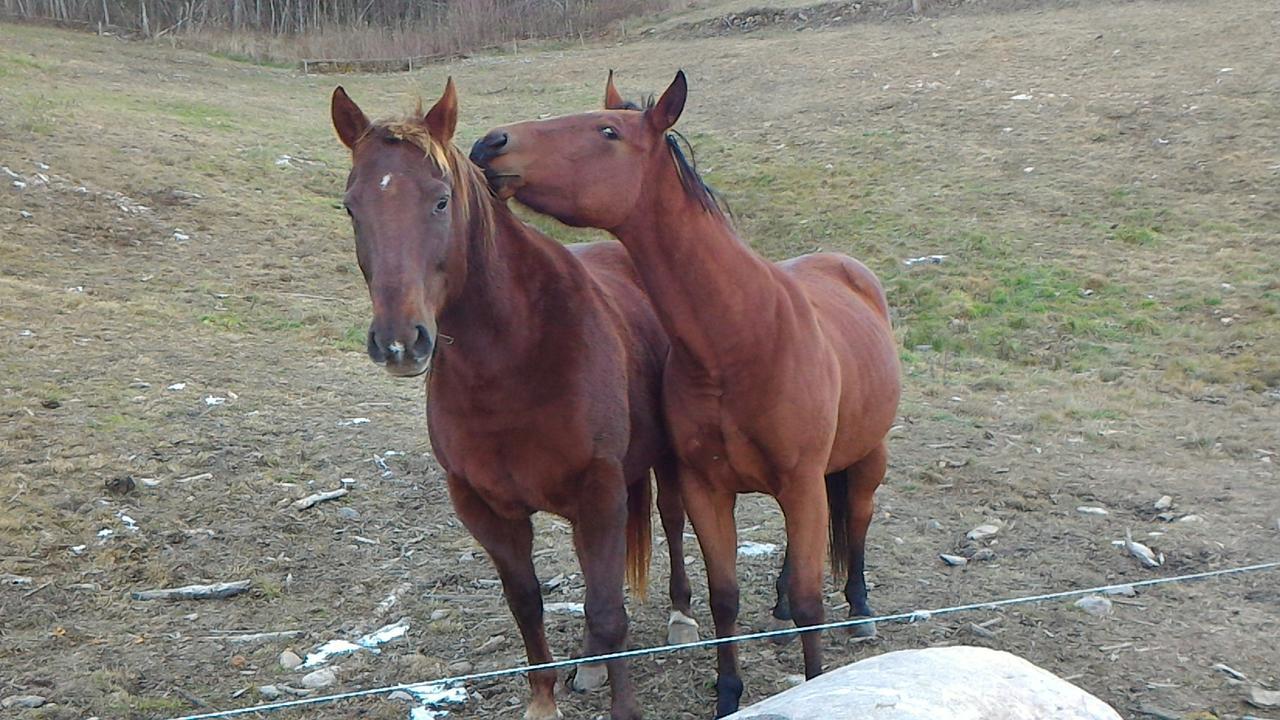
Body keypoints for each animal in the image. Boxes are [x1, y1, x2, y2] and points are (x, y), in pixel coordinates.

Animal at [325, 79, 696, 717]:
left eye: (441, 201)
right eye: (352, 207)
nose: (399, 342)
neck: (513, 359)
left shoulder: (598, 491)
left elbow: (608, 607)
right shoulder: (484, 506)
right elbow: (526, 603)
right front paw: (544, 700)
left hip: (658, 464)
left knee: (671, 522)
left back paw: (680, 617)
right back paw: (591, 664)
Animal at [471, 71, 901, 712]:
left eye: (607, 131)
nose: (490, 143)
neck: (740, 339)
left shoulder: (800, 483)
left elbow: (810, 600)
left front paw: (813, 682)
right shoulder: (707, 489)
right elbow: (725, 597)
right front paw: (728, 693)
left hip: (867, 459)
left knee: (859, 523)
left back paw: (862, 606)